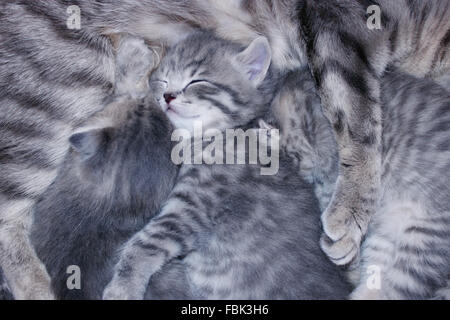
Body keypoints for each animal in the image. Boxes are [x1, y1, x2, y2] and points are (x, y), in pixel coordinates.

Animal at [103, 31, 352, 300]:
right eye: (163, 80)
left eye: (196, 81)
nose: (167, 96)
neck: (220, 134)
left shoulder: (193, 206)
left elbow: (146, 241)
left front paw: (123, 286)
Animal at [274, 68, 450, 300]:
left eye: (290, 158)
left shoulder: (334, 167)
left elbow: (340, 201)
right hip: (385, 237)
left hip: (425, 237)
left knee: (396, 286)